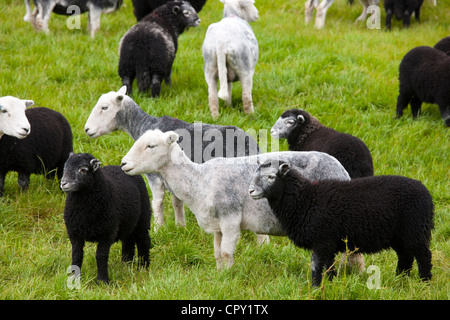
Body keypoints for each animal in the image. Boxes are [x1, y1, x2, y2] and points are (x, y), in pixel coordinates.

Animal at [61, 154, 151, 284]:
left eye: (83, 170)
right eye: (65, 168)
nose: (63, 183)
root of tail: (120, 167)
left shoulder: (107, 233)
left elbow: (101, 255)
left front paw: (102, 280)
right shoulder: (74, 233)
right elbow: (77, 255)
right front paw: (74, 278)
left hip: (143, 217)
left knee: (143, 240)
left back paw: (144, 267)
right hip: (127, 221)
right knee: (128, 240)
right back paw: (126, 263)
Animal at [85, 86, 260, 229]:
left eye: (104, 107)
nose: (86, 129)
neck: (142, 124)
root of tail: (253, 144)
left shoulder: (154, 175)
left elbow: (157, 203)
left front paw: (158, 229)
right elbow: (177, 202)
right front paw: (180, 226)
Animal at [122, 129, 356, 270]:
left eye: (151, 146)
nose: (123, 163)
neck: (200, 180)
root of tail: (341, 169)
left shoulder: (230, 219)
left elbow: (226, 253)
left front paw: (228, 276)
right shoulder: (216, 225)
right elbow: (217, 253)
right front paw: (219, 275)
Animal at [248, 161, 434, 286]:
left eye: (271, 177)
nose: (251, 191)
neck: (306, 200)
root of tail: (426, 193)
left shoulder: (322, 240)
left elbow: (316, 265)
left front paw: (316, 287)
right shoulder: (329, 242)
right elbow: (328, 265)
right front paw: (331, 283)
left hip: (415, 229)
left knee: (423, 255)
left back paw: (424, 282)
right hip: (400, 235)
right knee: (405, 256)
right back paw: (400, 279)